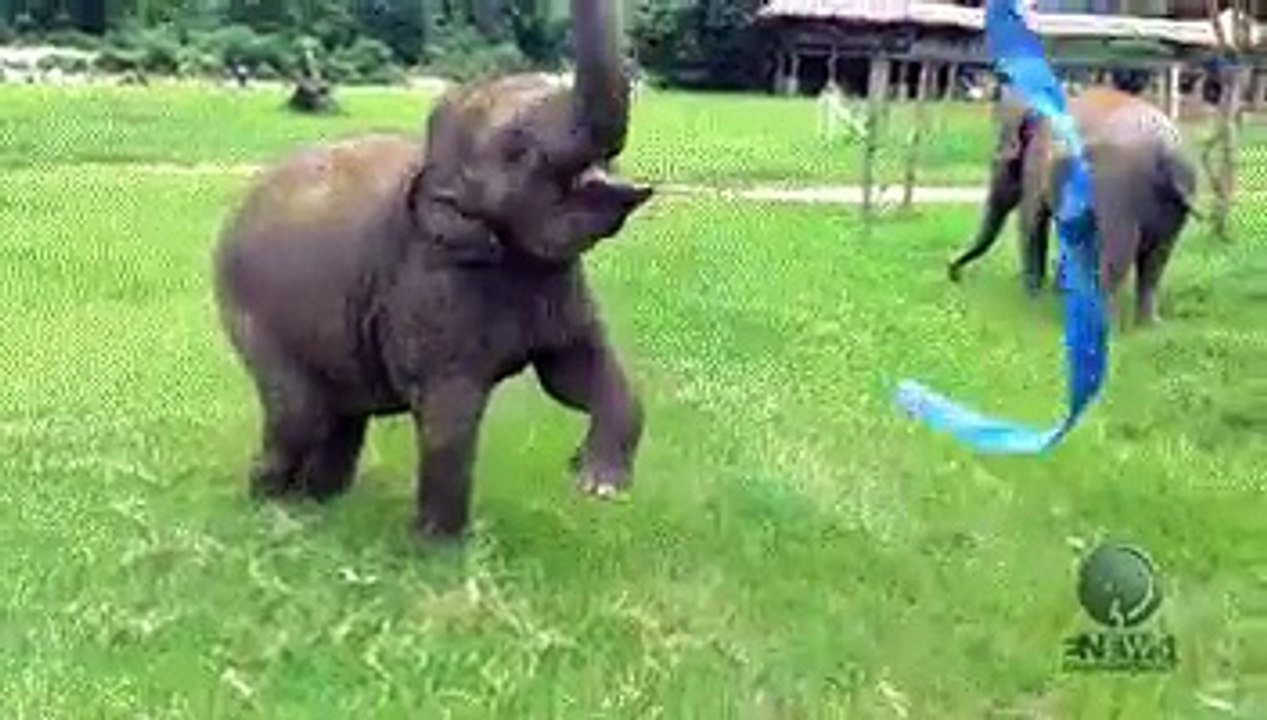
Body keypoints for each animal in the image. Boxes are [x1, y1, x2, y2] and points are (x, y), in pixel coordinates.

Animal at [211, 0, 653, 540]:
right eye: (517, 151)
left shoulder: (559, 285)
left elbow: (573, 371)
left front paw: (598, 485)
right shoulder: (431, 284)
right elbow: (449, 413)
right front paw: (438, 549)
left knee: (341, 414)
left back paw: (321, 503)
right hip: (249, 308)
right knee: (298, 413)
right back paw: (271, 508)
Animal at [947, 86, 1199, 328]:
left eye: (1001, 156)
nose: (954, 274)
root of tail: (1167, 151)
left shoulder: (1038, 161)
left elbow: (1030, 221)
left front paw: (1030, 302)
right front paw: (1057, 295)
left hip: (1119, 191)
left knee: (1119, 254)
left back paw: (1104, 325)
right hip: (1174, 203)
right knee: (1157, 259)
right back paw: (1148, 326)